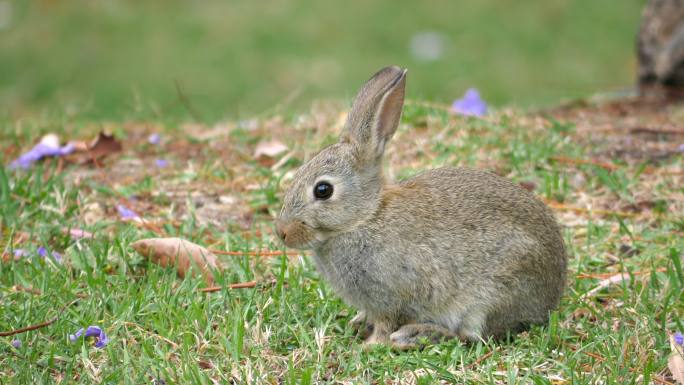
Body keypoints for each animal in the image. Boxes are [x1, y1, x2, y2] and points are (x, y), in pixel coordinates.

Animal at [272, 66, 568, 348]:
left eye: (323, 190)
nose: (282, 232)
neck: (366, 217)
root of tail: (552, 295)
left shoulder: (393, 295)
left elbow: (386, 322)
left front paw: (369, 346)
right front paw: (358, 323)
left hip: (492, 295)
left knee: (471, 336)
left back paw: (416, 336)